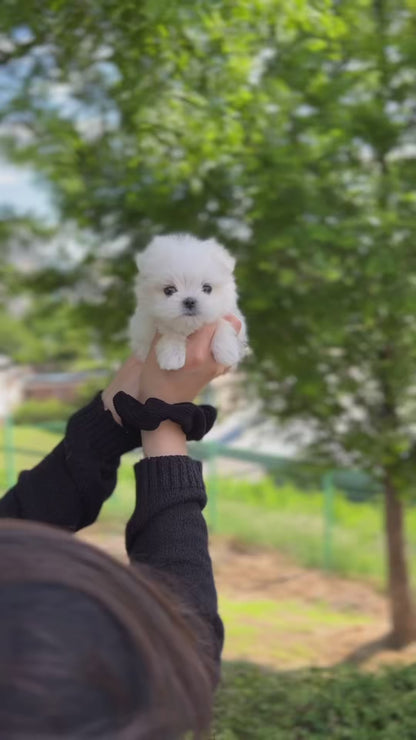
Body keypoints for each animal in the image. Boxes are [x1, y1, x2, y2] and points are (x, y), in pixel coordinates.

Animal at [128, 234, 249, 370]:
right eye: (169, 290)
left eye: (207, 288)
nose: (190, 301)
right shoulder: (143, 329)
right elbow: (169, 330)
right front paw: (172, 356)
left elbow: (221, 322)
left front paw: (226, 351)